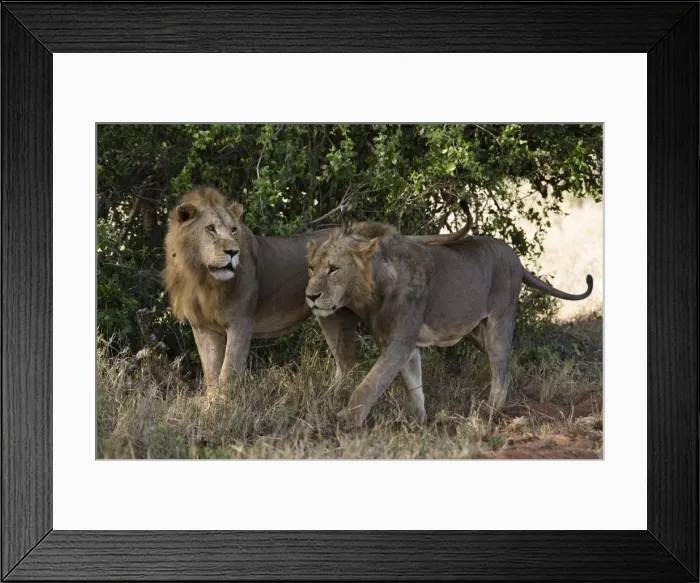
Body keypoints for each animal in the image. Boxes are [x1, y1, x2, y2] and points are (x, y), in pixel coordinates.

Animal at [163, 187, 474, 399]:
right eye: (210, 229)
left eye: (233, 230)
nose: (233, 252)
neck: (201, 277)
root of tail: (362, 238)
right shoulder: (204, 328)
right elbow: (211, 374)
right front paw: (210, 408)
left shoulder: (241, 323)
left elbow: (228, 373)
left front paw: (222, 409)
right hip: (331, 316)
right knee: (346, 363)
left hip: (333, 314)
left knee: (348, 362)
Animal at [305, 223, 594, 427]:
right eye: (311, 268)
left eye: (334, 269)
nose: (310, 296)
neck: (373, 287)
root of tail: (516, 259)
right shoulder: (405, 344)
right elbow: (413, 385)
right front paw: (418, 421)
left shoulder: (400, 341)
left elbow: (370, 383)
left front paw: (347, 420)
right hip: (477, 333)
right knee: (507, 367)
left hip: (499, 322)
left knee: (500, 371)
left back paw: (488, 413)